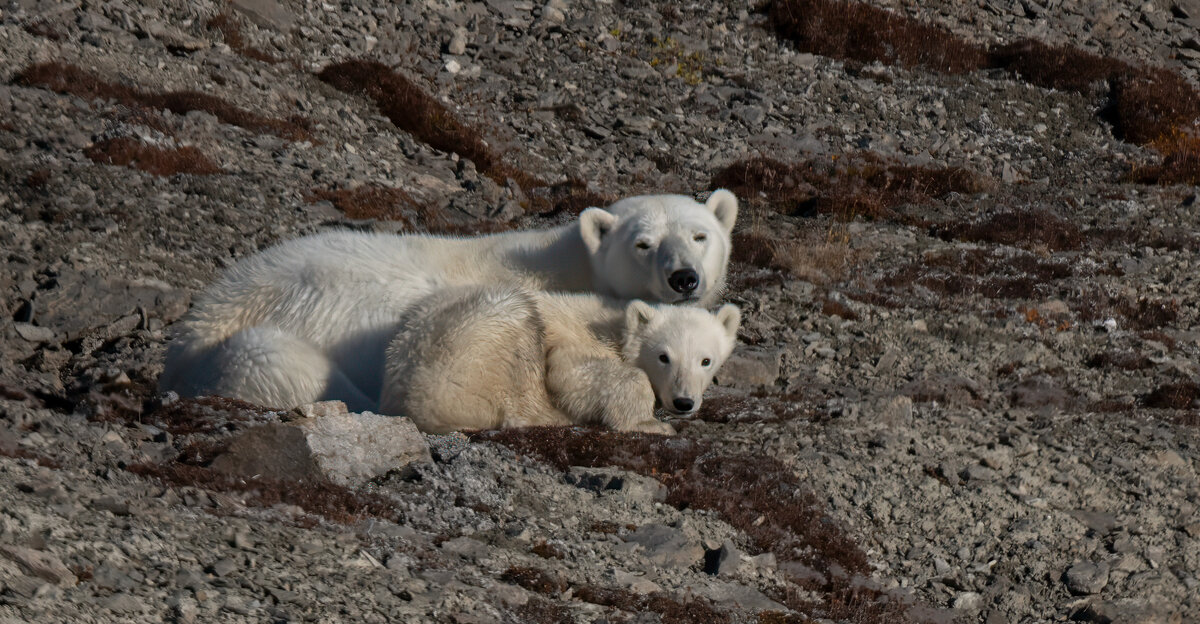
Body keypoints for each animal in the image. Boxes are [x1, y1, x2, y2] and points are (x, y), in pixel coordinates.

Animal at [378, 284, 741, 435]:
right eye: (664, 357)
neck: (615, 323)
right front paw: (648, 423)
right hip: (475, 342)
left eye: (706, 360)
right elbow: (570, 375)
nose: (684, 402)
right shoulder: (575, 342)